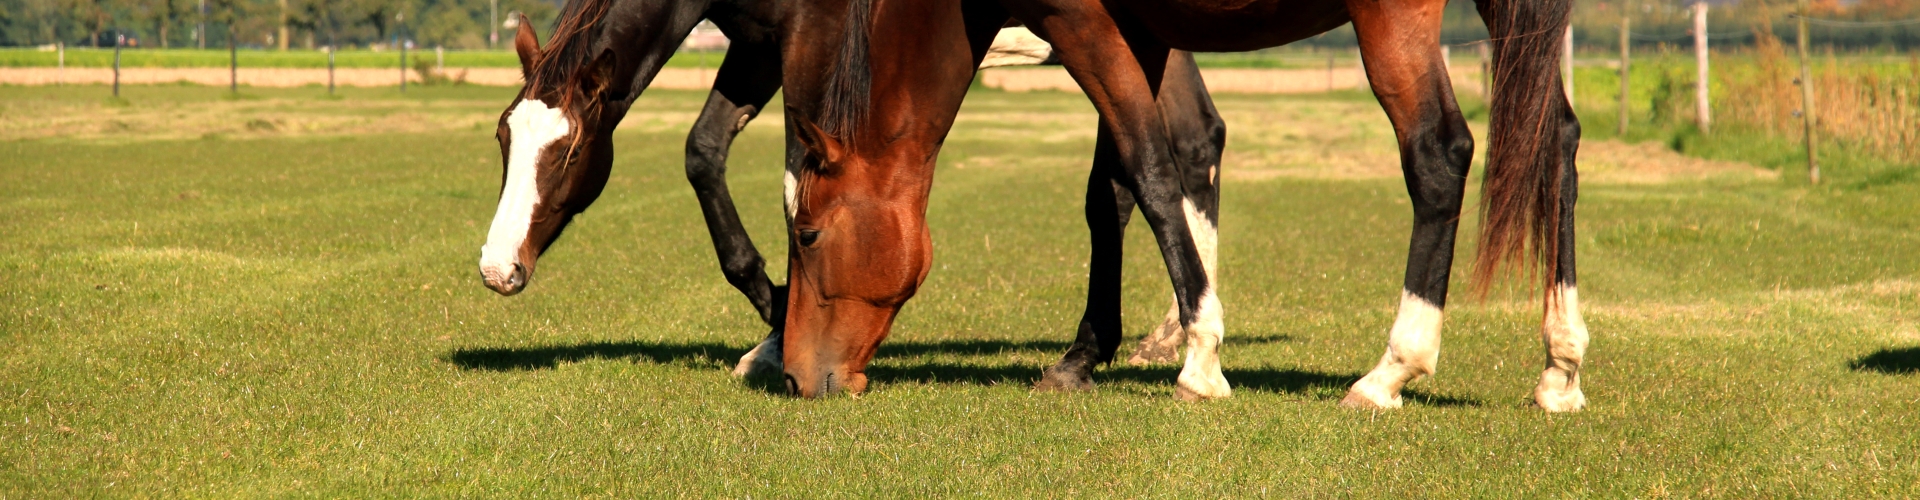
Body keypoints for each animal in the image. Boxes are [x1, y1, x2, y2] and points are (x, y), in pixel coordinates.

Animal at [474, 0, 1225, 378]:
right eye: (503, 137)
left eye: (569, 150)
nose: (497, 268)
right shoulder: (758, 45)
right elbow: (703, 153)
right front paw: (774, 312)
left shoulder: (815, 43)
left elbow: (793, 179)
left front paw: (780, 331)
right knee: (1193, 146)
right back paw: (1169, 334)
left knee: (1182, 148)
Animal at [778, 0, 1589, 412]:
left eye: (809, 233)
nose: (792, 374)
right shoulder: (1136, 28)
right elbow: (1107, 193)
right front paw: (1083, 354)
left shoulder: (1080, 19)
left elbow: (1150, 169)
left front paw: (1201, 357)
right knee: (1555, 139)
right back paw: (1560, 368)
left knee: (1438, 153)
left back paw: (1392, 368)